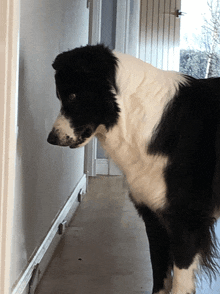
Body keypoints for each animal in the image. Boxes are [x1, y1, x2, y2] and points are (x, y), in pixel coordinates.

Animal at [47, 44, 220, 294]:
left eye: (72, 96)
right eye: (60, 96)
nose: (51, 139)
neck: (133, 118)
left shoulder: (186, 220)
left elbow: (180, 281)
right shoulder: (153, 216)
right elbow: (159, 274)